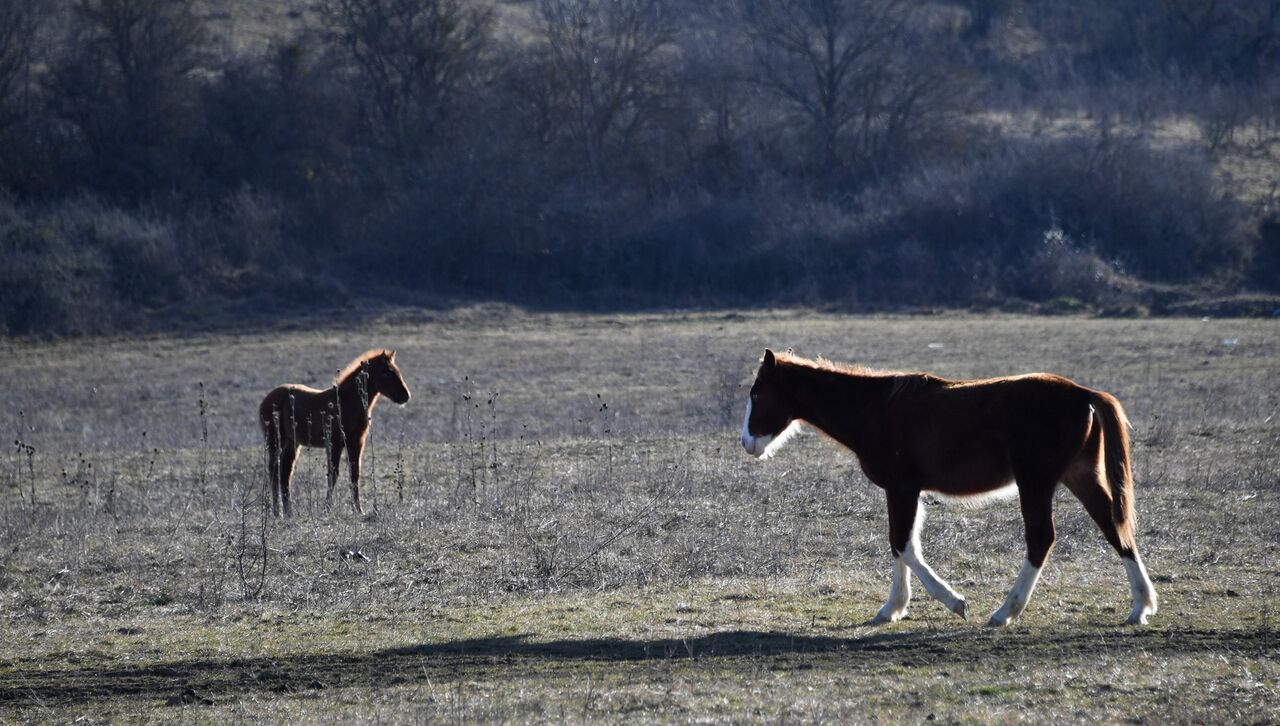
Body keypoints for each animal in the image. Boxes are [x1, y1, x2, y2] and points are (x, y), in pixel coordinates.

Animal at [254, 350, 404, 517]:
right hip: (275, 440)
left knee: (285, 473)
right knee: (274, 471)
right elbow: (333, 474)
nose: (406, 396)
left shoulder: (356, 443)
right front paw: (327, 508)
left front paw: (359, 510)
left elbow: (355, 474)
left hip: (292, 443)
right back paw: (276, 512)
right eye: (386, 373)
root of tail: (265, 400)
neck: (345, 403)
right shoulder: (335, 443)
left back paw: (288, 512)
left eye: (397, 370)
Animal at [742, 348, 1162, 627]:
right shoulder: (903, 492)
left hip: (1036, 482)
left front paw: (955, 602)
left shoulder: (902, 488)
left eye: (758, 392)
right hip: (1079, 476)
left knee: (1042, 538)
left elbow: (903, 545)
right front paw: (892, 608)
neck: (877, 410)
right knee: (1115, 528)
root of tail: (1084, 394)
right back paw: (1141, 606)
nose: (747, 443)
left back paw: (1004, 612)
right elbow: (901, 545)